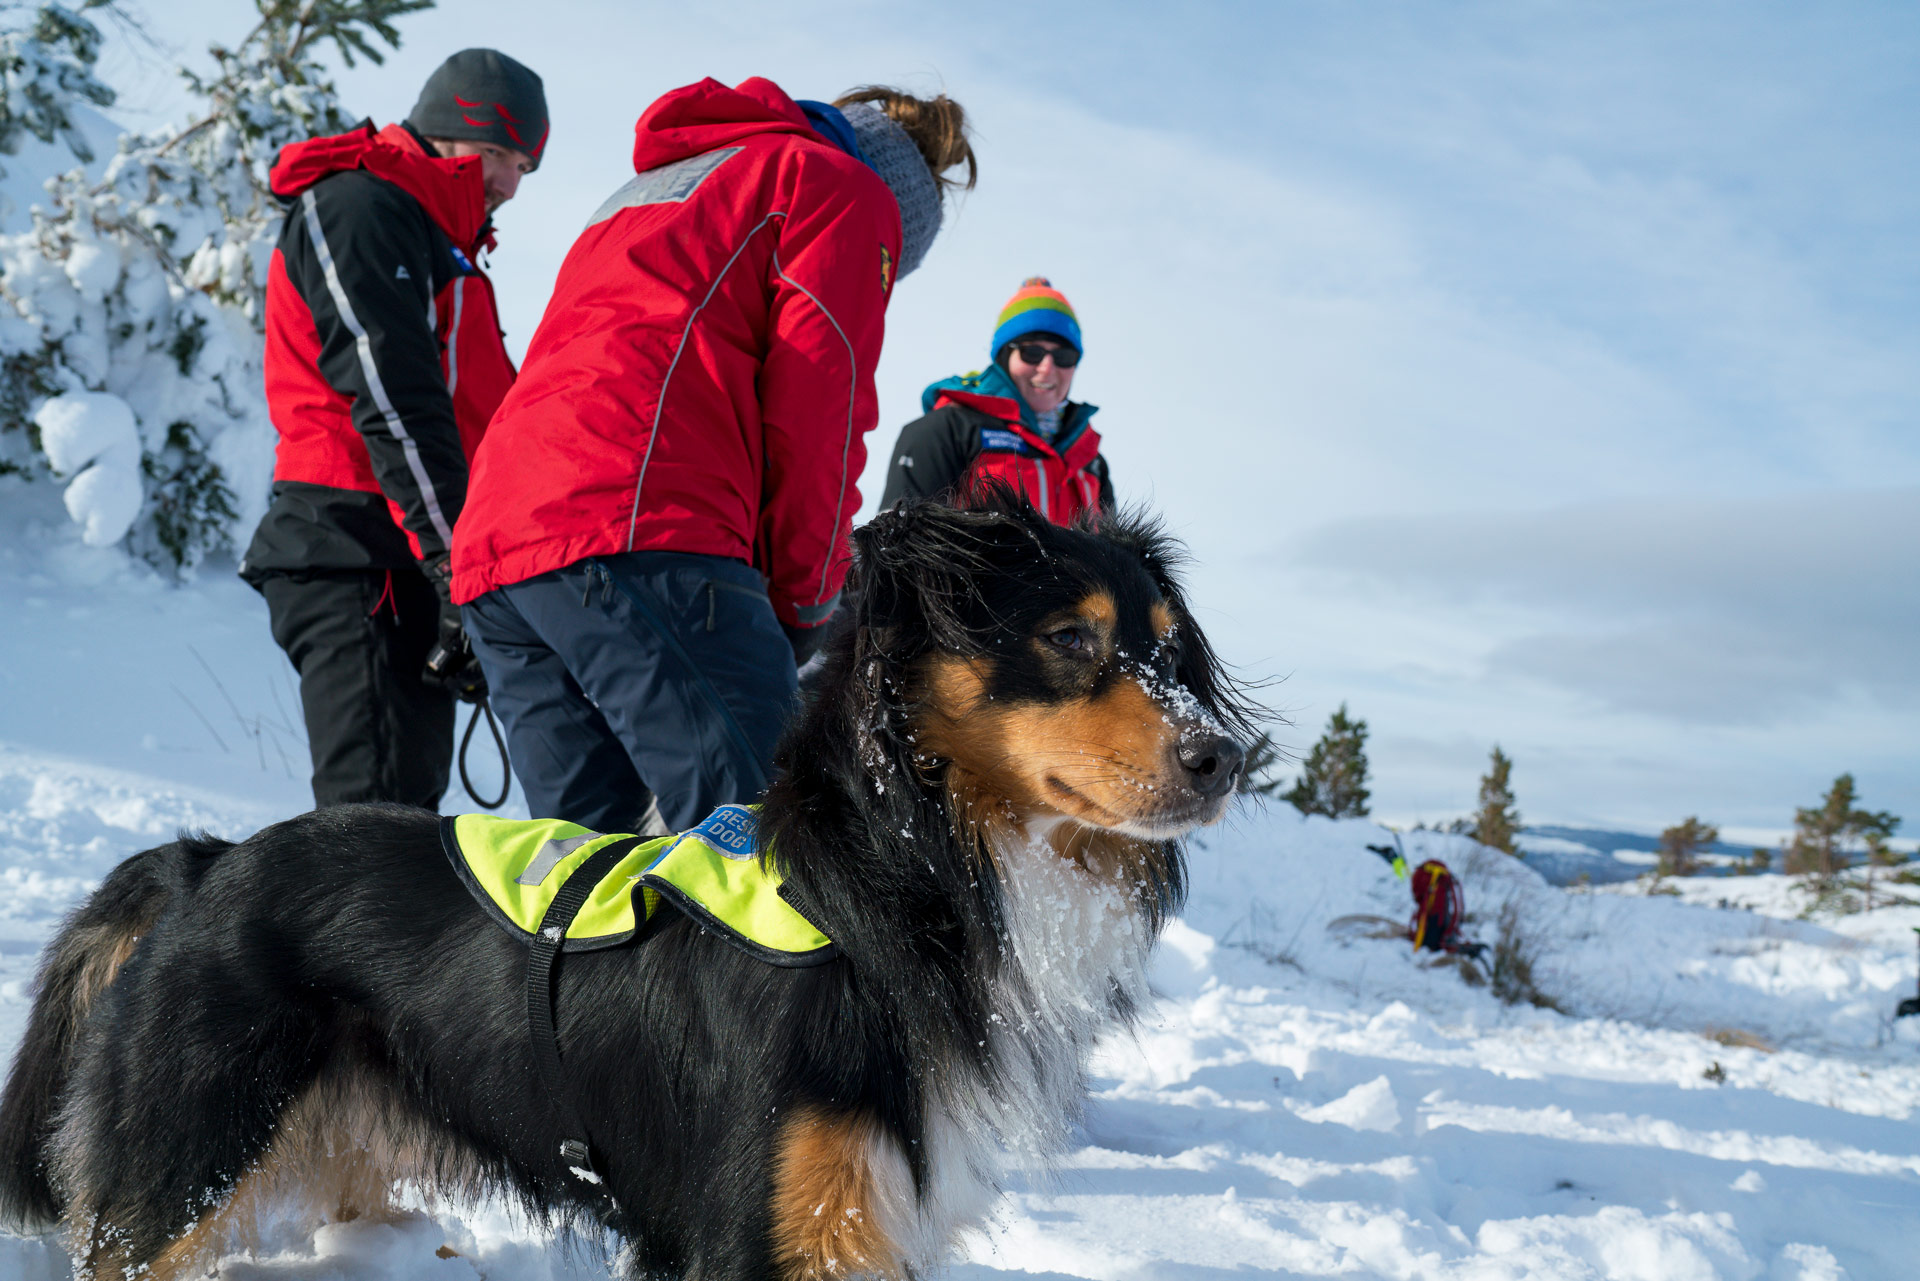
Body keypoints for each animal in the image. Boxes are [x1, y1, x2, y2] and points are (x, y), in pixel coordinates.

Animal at [0, 495, 1251, 1281]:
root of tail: (207, 859)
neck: (878, 897)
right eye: (1070, 639)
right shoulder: (767, 1227)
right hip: (188, 1153)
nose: (1224, 760)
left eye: (1169, 649)